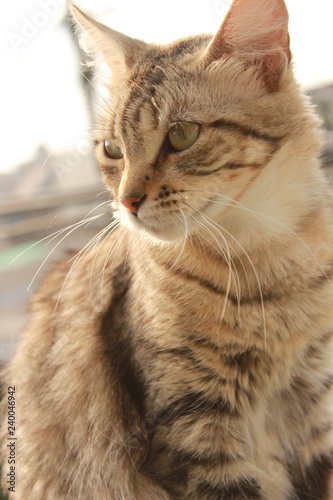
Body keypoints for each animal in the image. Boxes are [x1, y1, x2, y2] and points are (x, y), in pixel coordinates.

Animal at [0, 0, 332, 498]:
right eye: (113, 149)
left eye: (182, 135)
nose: (126, 201)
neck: (263, 260)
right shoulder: (192, 429)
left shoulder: (313, 402)